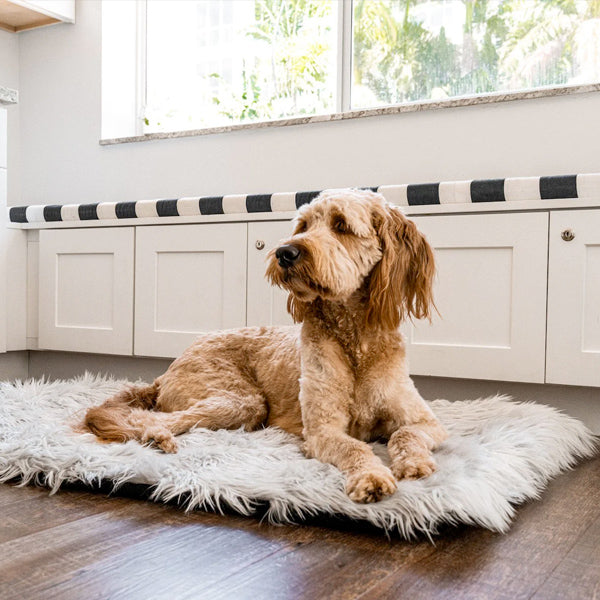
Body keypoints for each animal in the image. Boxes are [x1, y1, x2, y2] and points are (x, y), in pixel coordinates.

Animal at [86, 189, 448, 502]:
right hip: (242, 400)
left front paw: (414, 464)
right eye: (303, 226)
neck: (354, 340)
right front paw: (371, 477)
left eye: (341, 225)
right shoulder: (323, 431)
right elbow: (356, 448)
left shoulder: (427, 422)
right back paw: (157, 437)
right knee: (149, 418)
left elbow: (405, 433)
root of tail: (168, 370)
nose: (285, 252)